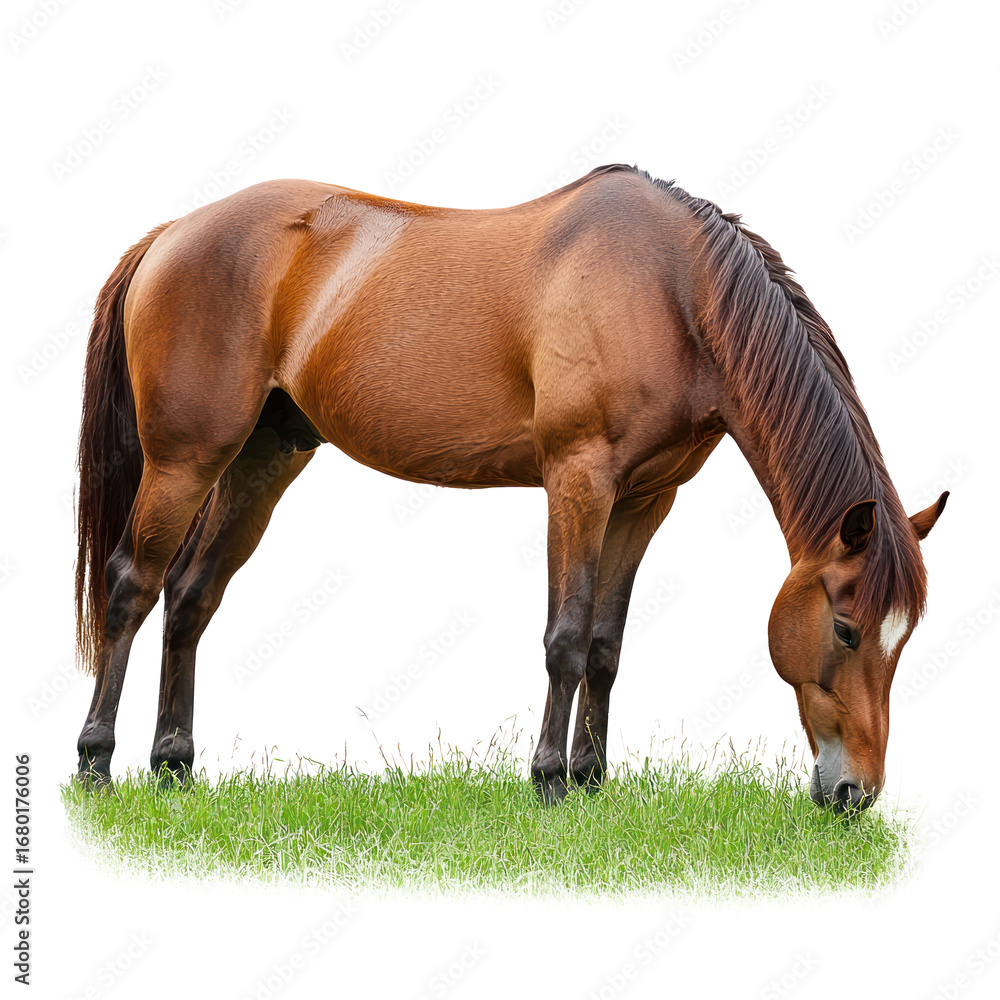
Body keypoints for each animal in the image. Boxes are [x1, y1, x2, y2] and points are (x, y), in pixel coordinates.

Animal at [74, 163, 946, 811]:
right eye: (845, 629)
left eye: (904, 639)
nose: (857, 794)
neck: (673, 290)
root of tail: (170, 235)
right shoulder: (578, 481)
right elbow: (565, 639)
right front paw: (551, 783)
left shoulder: (644, 500)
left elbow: (605, 646)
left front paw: (593, 782)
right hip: (185, 460)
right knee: (132, 586)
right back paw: (95, 762)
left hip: (261, 459)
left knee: (191, 595)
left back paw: (174, 766)